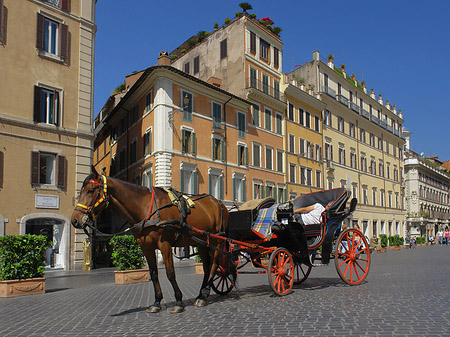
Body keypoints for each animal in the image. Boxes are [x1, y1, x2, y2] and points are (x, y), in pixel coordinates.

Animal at [72, 167, 232, 312]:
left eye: (90, 191)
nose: (75, 220)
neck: (145, 208)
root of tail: (219, 203)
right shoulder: (146, 247)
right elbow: (154, 273)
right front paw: (157, 302)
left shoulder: (164, 244)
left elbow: (170, 273)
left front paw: (178, 301)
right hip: (202, 243)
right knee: (206, 266)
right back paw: (201, 295)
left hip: (217, 240)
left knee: (214, 265)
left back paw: (204, 295)